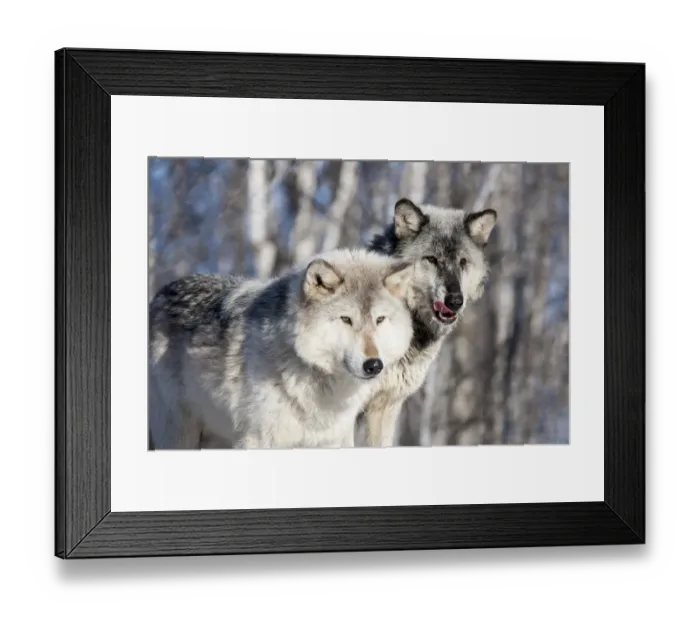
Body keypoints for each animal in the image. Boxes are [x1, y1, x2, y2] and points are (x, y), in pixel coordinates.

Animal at [147, 247, 417, 450]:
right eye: (346, 319)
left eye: (380, 319)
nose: (374, 365)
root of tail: (160, 294)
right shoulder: (259, 440)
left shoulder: (331, 441)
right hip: (179, 434)